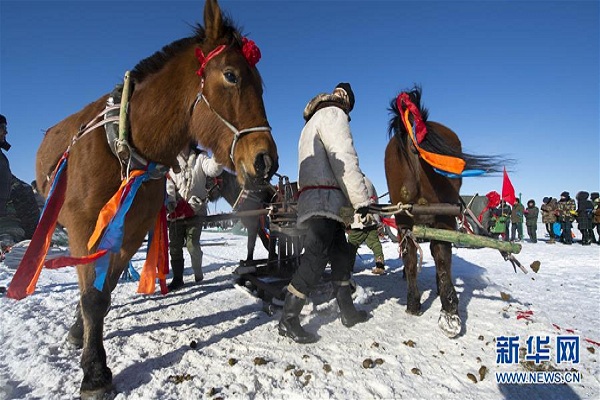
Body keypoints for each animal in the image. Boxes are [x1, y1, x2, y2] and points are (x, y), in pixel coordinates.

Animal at [32, 1, 276, 398]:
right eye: (232, 76)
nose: (265, 160)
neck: (125, 149)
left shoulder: (130, 232)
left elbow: (102, 291)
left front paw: (86, 340)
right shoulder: (84, 227)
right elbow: (92, 295)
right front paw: (94, 371)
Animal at [384, 86, 502, 338]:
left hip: (406, 216)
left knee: (414, 256)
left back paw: (422, 304)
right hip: (442, 215)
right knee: (439, 254)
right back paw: (445, 308)